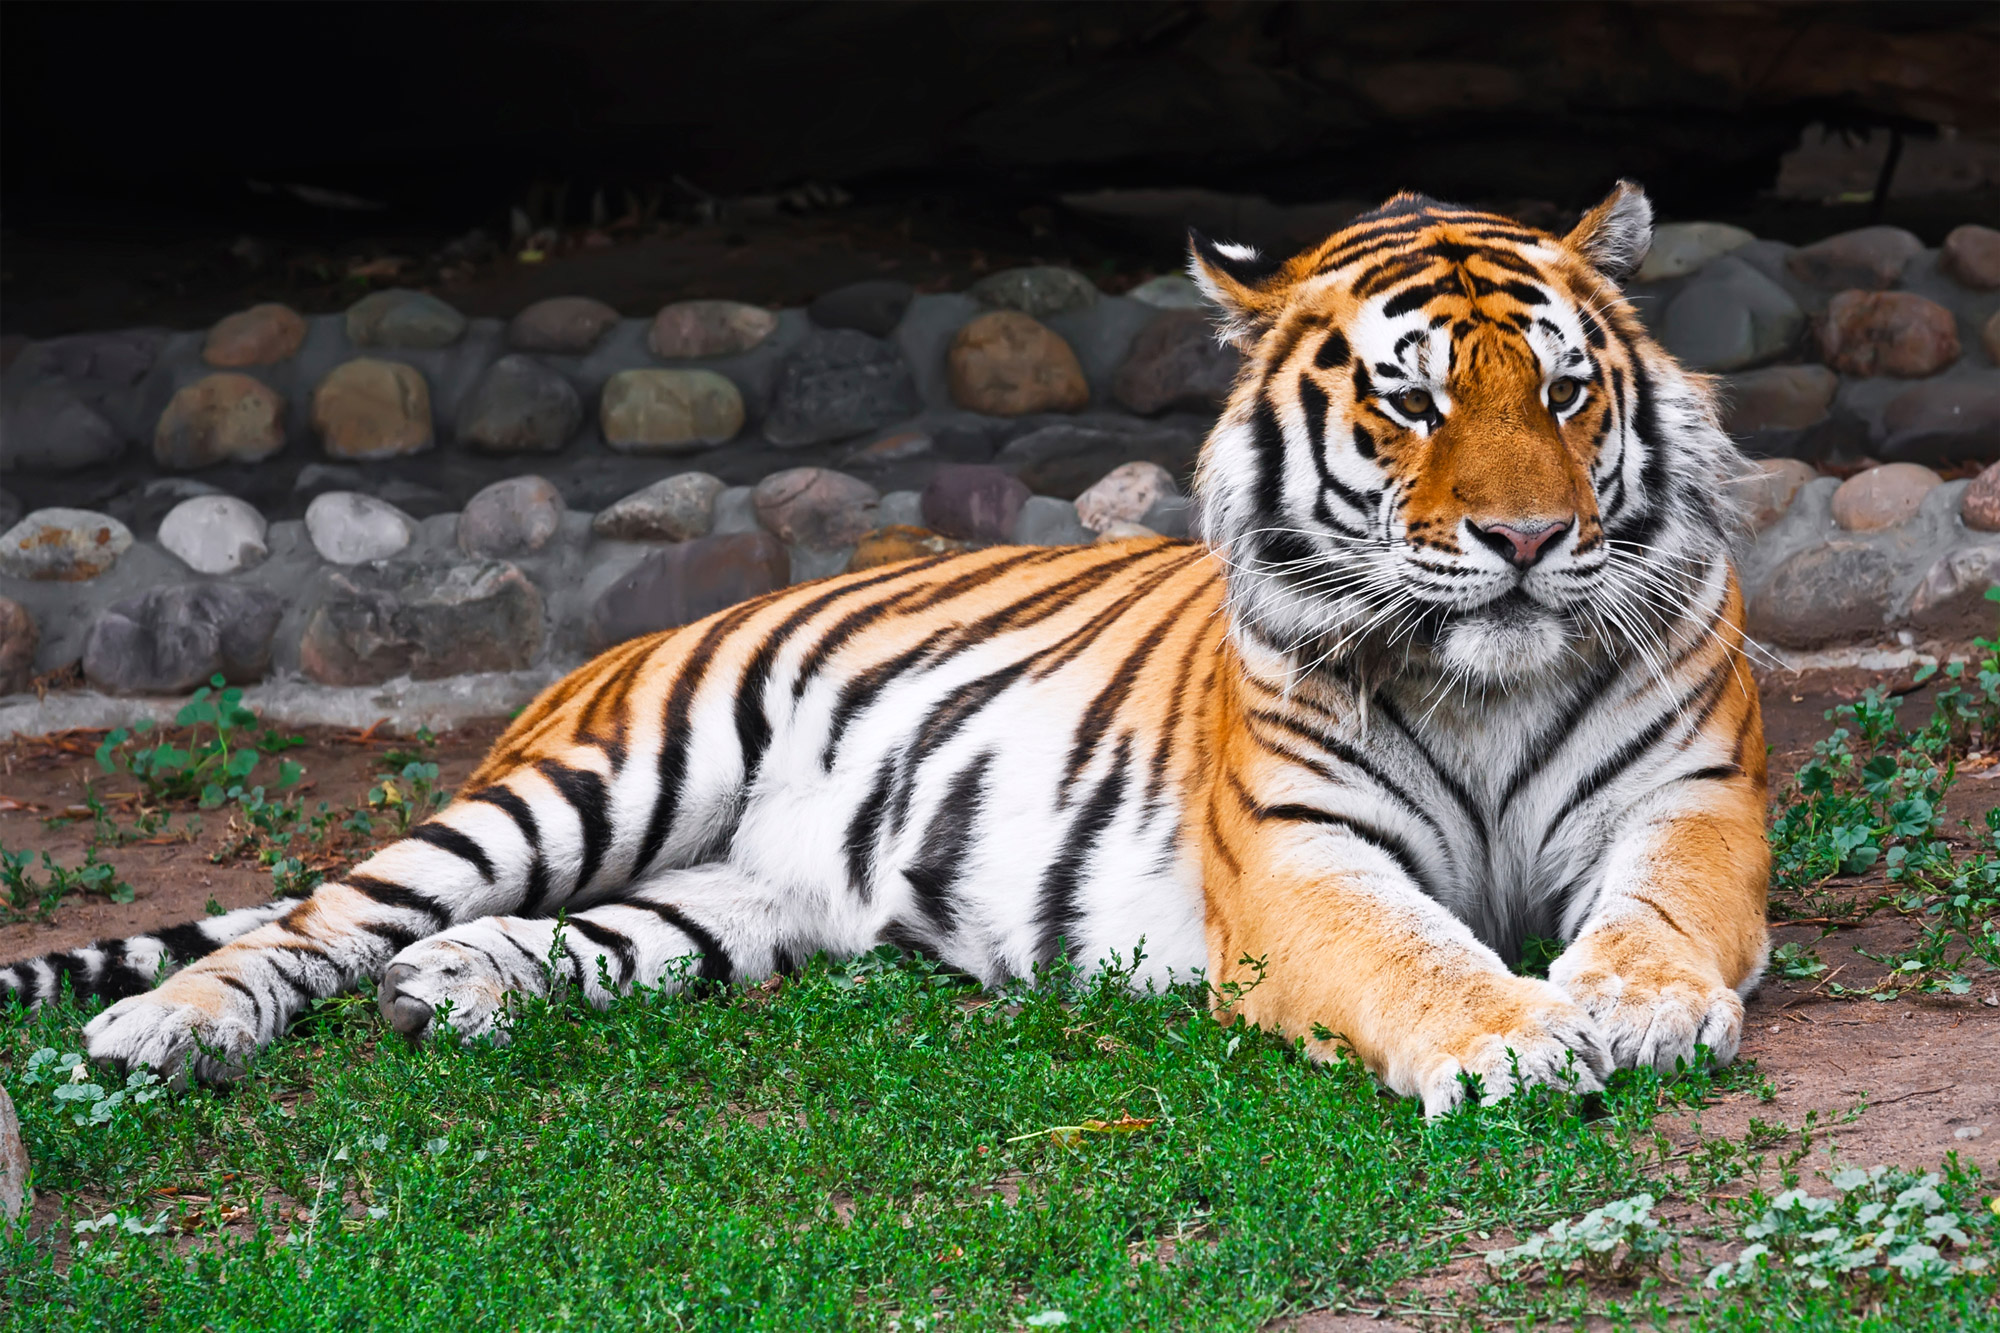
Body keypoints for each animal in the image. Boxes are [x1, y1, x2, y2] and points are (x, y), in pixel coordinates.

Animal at [0, 179, 1768, 1112]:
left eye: (1565, 392)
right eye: (1408, 401)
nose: (1528, 542)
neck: (1481, 686)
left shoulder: (1689, 801)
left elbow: (1658, 916)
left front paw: (1636, 1004)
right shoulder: (1303, 863)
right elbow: (1419, 952)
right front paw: (1518, 1035)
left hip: (738, 897)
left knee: (559, 938)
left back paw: (453, 988)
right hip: (595, 781)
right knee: (318, 918)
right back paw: (165, 1029)